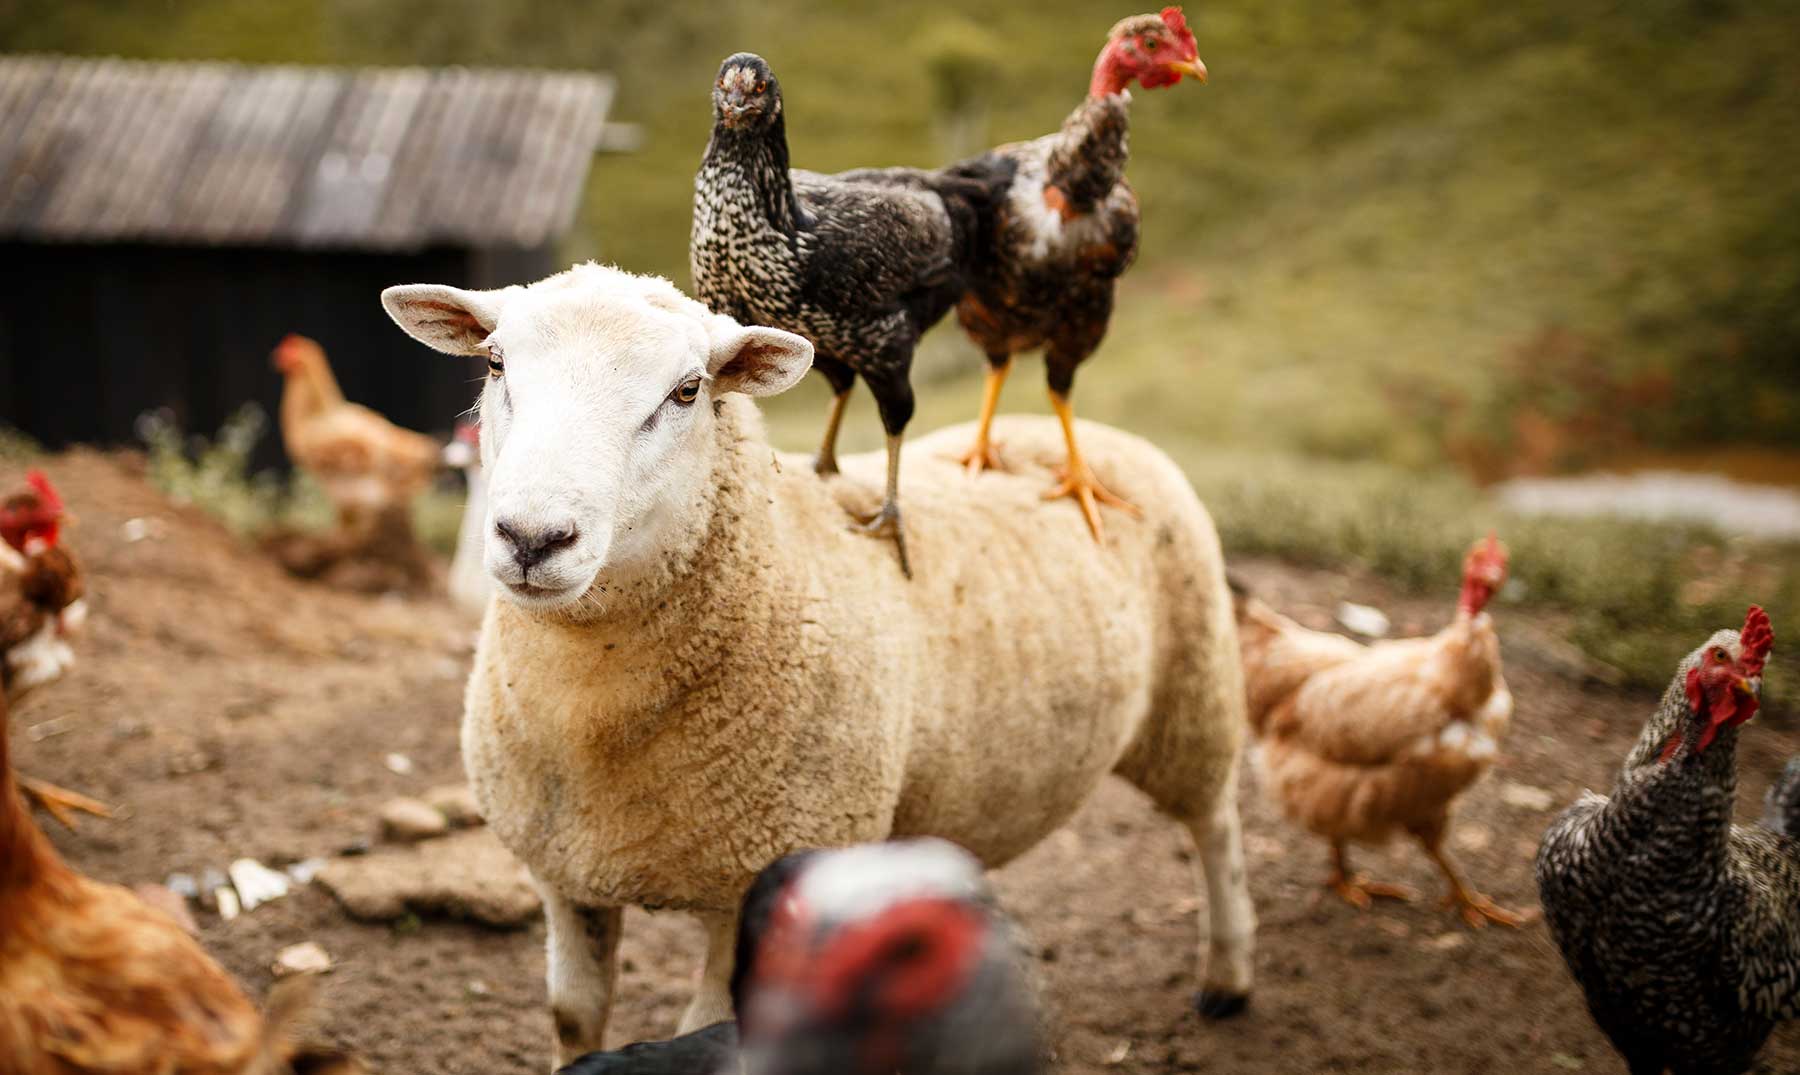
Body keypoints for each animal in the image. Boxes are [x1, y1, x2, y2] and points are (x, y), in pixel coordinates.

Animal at [379, 262, 1252, 1065]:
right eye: (495, 364)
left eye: (688, 390)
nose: (533, 537)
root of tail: (1081, 432)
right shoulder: (564, 874)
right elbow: (573, 1016)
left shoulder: (756, 881)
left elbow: (703, 1024)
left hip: (1195, 689)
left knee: (1215, 825)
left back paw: (1228, 975)